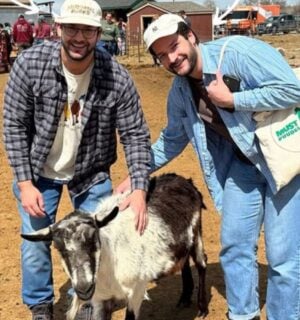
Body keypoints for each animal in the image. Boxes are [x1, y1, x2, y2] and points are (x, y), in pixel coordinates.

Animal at [21, 174, 209, 318]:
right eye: (59, 248)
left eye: (93, 239)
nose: (83, 288)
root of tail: (184, 180)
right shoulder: (100, 298)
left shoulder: (137, 290)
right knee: (184, 261)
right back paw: (184, 298)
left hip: (197, 232)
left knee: (201, 263)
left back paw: (202, 308)